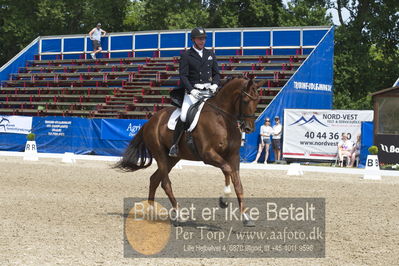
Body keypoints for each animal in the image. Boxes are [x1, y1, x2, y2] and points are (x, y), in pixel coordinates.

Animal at [115, 77, 266, 227]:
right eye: (245, 101)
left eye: (258, 100)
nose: (249, 128)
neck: (222, 119)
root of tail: (149, 121)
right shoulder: (208, 154)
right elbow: (228, 170)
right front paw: (224, 199)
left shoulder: (233, 155)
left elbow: (237, 182)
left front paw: (246, 216)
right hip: (160, 155)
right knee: (165, 183)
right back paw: (179, 214)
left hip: (172, 158)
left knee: (154, 180)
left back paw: (151, 212)